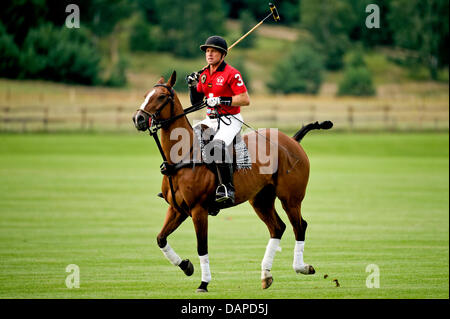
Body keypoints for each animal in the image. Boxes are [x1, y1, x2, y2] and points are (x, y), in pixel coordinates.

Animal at [132, 71, 332, 294]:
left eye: (160, 96)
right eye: (145, 95)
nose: (138, 118)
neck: (182, 155)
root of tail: (293, 141)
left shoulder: (198, 209)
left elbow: (202, 246)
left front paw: (204, 283)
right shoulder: (177, 209)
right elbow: (160, 238)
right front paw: (186, 266)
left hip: (291, 198)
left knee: (299, 226)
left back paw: (301, 267)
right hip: (261, 199)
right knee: (278, 227)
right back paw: (266, 275)